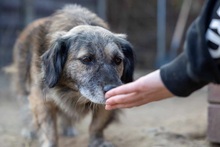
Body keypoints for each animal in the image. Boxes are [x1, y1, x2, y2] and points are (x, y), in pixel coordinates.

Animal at [10, 4, 134, 147]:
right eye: (86, 59)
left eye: (118, 60)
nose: (113, 89)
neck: (73, 91)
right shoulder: (41, 99)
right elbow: (49, 129)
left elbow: (97, 124)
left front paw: (98, 141)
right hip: (22, 88)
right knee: (25, 110)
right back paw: (29, 130)